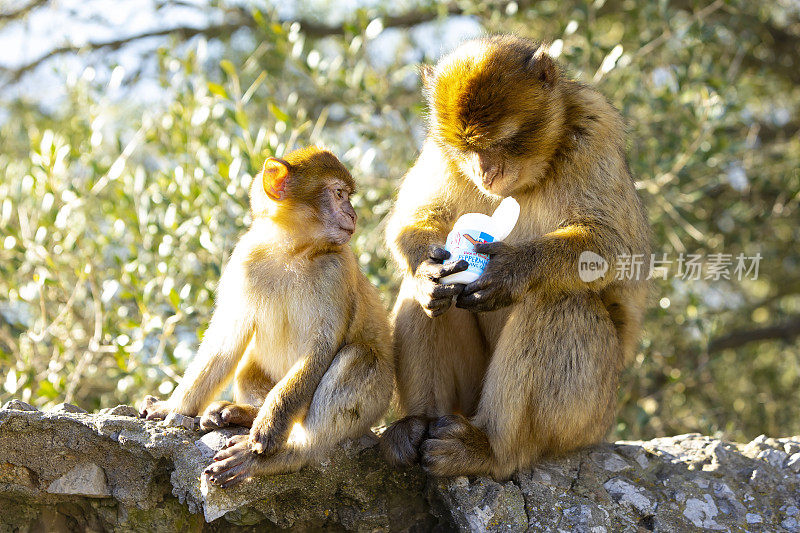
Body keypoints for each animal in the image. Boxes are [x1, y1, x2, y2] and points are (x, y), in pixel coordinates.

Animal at [144, 147, 396, 486]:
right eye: (339, 194)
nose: (353, 215)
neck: (291, 250)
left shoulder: (336, 269)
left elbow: (322, 347)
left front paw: (270, 426)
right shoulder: (243, 261)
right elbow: (225, 342)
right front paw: (173, 406)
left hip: (377, 400)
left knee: (359, 357)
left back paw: (285, 453)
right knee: (248, 366)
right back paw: (244, 413)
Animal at [382, 36, 648, 478]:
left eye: (499, 143)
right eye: (467, 148)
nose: (484, 173)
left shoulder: (595, 131)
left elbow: (613, 244)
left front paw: (511, 270)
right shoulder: (439, 151)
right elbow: (413, 218)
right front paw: (425, 275)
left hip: (588, 415)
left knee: (557, 299)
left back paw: (491, 448)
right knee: (433, 303)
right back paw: (417, 422)